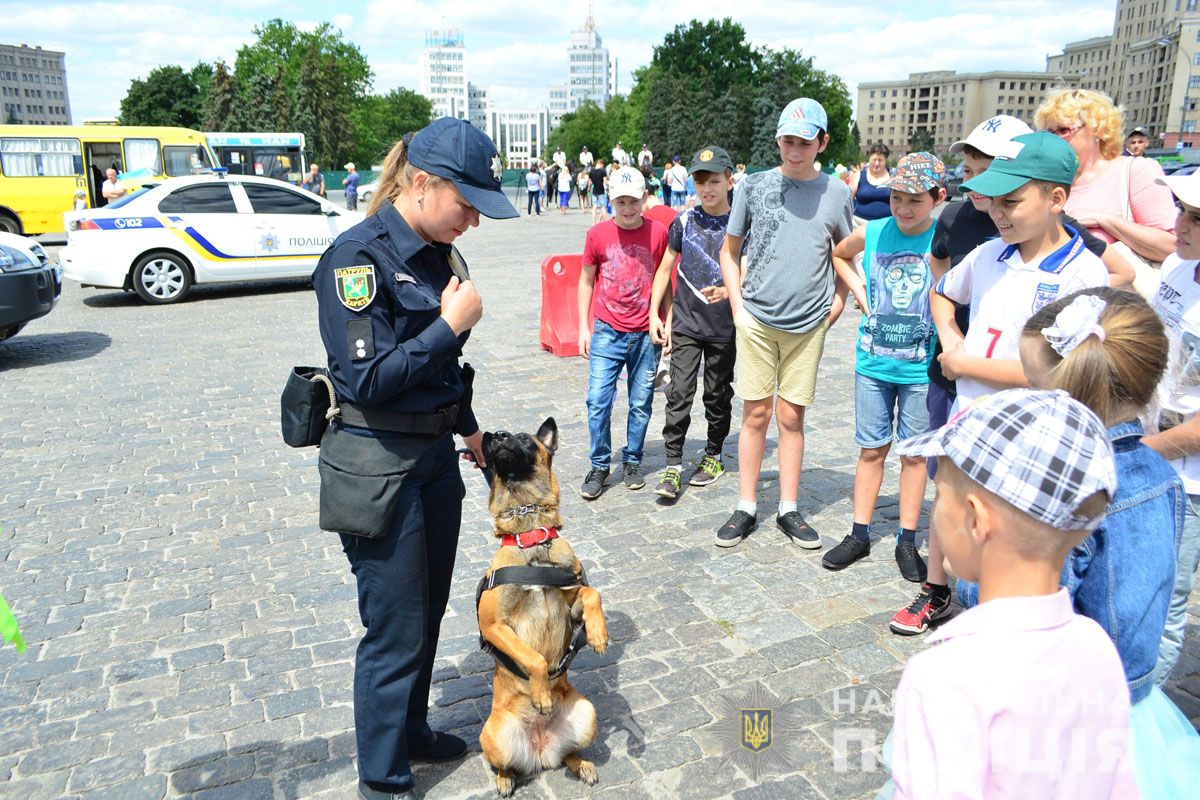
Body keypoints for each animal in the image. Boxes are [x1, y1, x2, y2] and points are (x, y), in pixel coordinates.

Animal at [477, 422, 609, 796]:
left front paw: (598, 634)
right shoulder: (494, 625)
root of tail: (540, 751)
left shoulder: (572, 603)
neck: (532, 536)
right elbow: (533, 657)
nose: (495, 435)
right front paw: (541, 695)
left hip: (587, 714)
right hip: (494, 734)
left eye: (524, 438)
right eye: (494, 442)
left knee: (568, 754)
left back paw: (582, 766)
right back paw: (505, 779)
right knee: (505, 765)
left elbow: (592, 593)